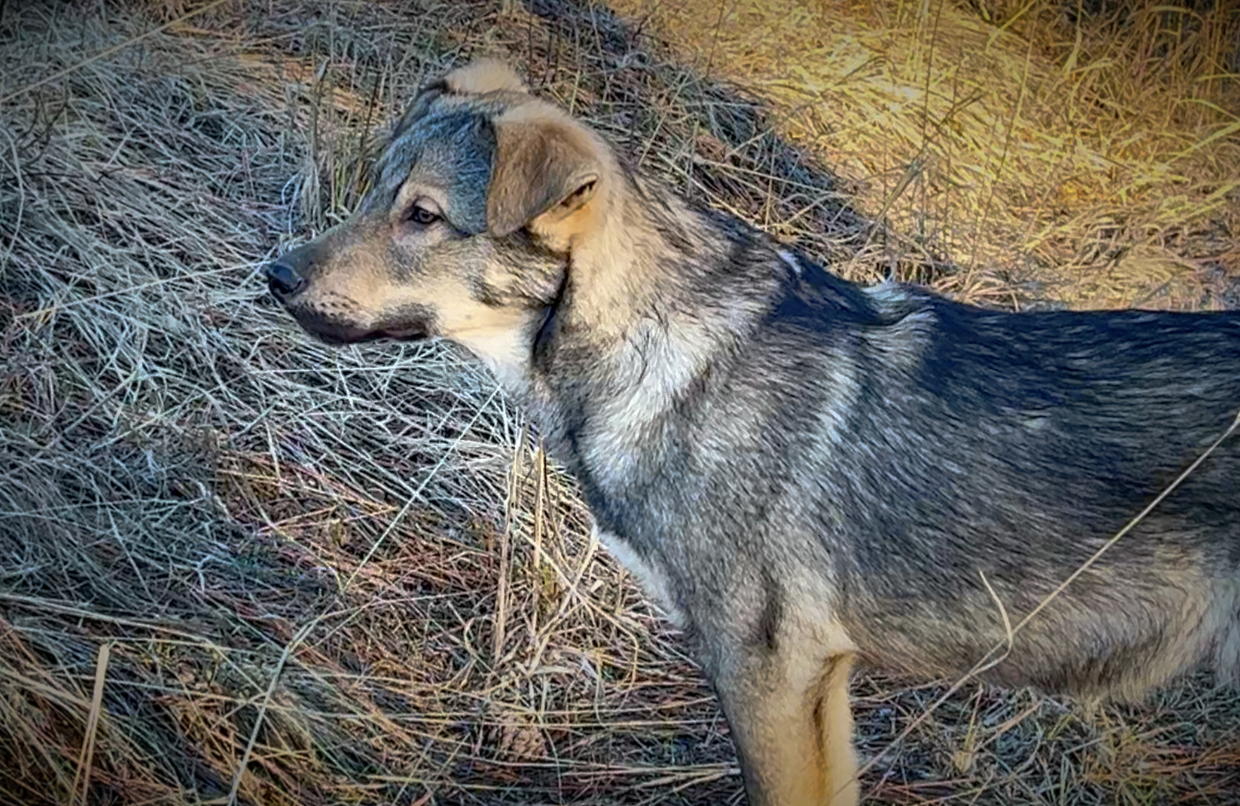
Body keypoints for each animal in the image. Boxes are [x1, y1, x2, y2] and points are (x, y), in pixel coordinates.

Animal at [264, 61, 1240, 803]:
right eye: (377, 191)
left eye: (423, 216)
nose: (273, 275)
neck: (670, 357)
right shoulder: (820, 681)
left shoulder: (767, 671)